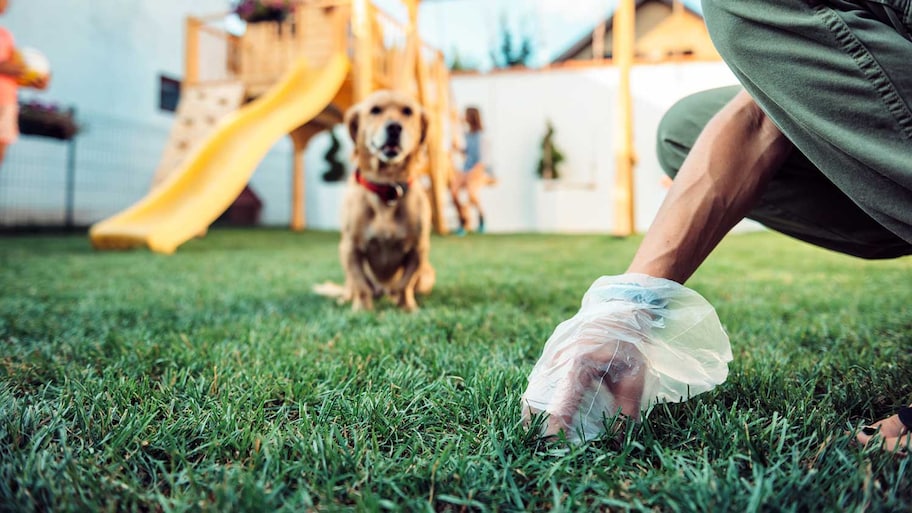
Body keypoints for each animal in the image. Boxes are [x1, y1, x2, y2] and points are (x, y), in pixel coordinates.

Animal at [316, 90, 436, 310]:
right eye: (375, 110)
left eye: (408, 111)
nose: (394, 127)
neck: (386, 187)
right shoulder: (350, 248)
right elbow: (361, 284)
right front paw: (362, 309)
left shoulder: (419, 249)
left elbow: (405, 284)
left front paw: (407, 307)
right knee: (352, 287)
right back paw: (345, 299)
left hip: (427, 276)